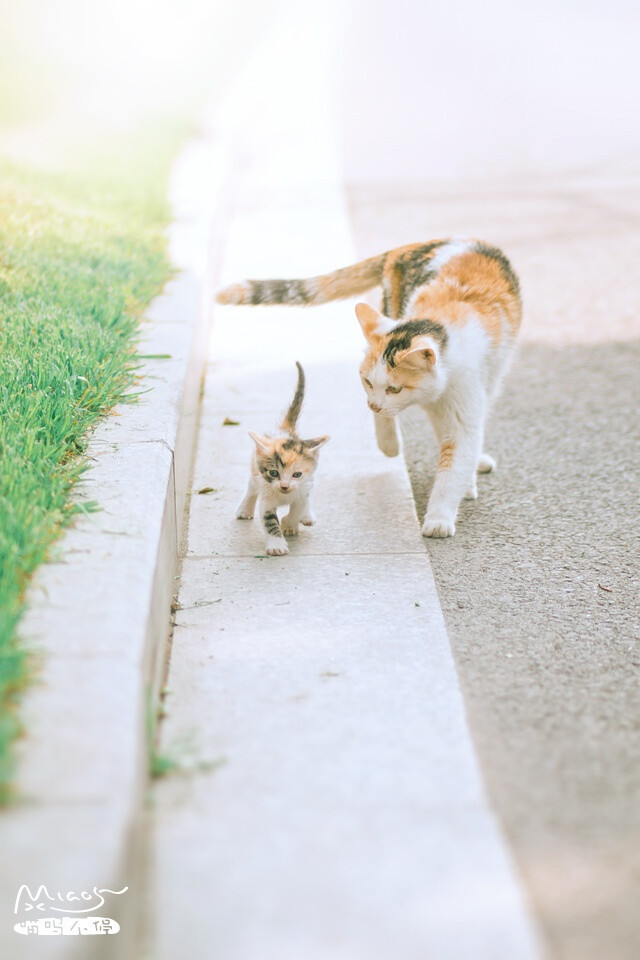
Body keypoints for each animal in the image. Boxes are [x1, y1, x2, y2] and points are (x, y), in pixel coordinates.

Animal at [239, 360, 332, 556]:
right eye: (274, 473)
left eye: (296, 474)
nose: (284, 486)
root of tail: (285, 430)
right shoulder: (266, 497)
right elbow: (269, 521)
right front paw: (277, 545)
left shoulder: (303, 487)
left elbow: (299, 507)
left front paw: (289, 525)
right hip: (254, 473)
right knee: (251, 489)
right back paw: (244, 509)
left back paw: (307, 516)